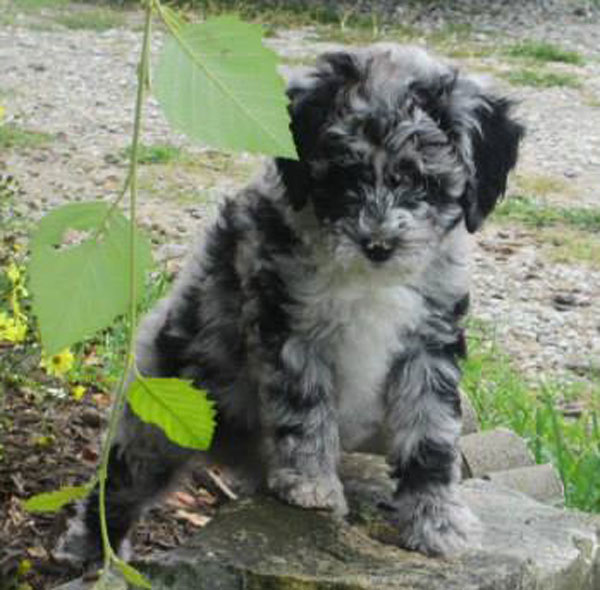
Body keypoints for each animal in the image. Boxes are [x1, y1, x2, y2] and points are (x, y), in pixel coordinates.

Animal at [57, 45, 524, 564]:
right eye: (345, 175)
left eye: (424, 181)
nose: (378, 244)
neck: (371, 281)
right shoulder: (289, 325)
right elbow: (304, 404)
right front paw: (311, 485)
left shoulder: (431, 339)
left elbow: (432, 433)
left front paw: (438, 521)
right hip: (162, 413)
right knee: (121, 482)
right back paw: (90, 552)